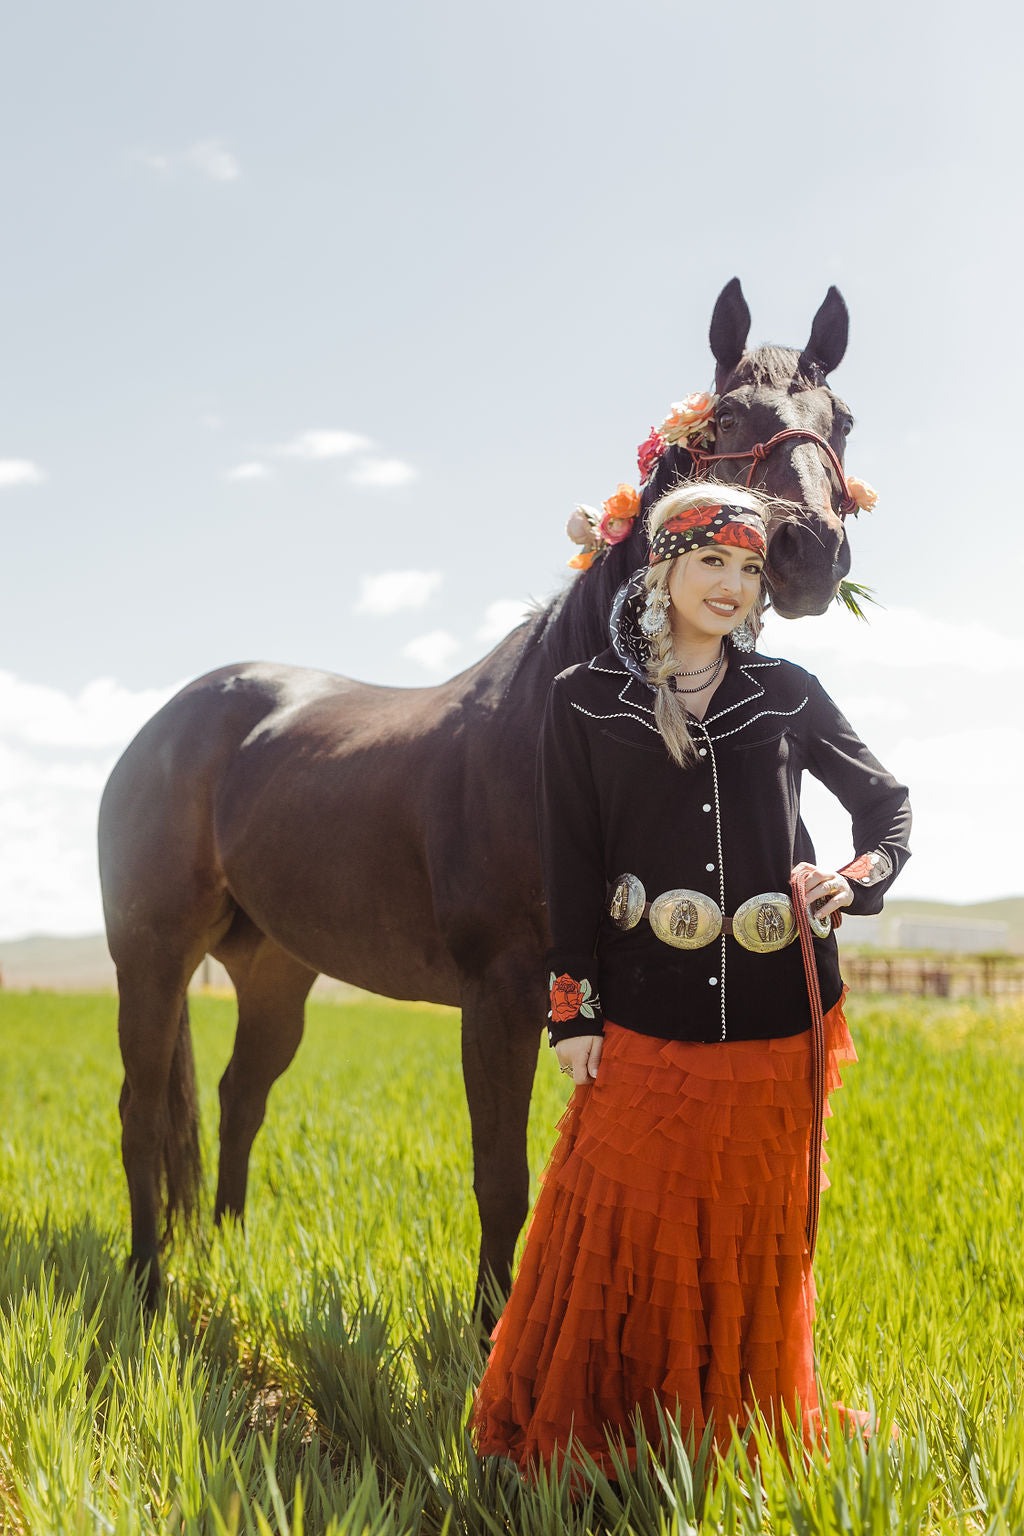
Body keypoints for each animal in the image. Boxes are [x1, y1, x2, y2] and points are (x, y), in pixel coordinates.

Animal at [102, 276, 859, 1308]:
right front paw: (486, 1328)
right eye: (729, 417)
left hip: (274, 967)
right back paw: (149, 1283)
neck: (552, 725)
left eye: (843, 421)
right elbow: (503, 1178)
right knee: (144, 1110)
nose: (810, 551)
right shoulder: (498, 995)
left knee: (236, 1096)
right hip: (151, 954)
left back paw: (225, 1248)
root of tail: (171, 721)